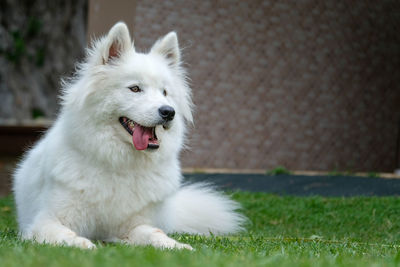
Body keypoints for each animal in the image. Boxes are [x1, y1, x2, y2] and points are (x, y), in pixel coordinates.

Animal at [13, 22, 244, 250]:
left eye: (164, 92)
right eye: (135, 88)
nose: (168, 112)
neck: (120, 164)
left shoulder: (132, 227)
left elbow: (154, 233)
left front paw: (176, 246)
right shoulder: (46, 220)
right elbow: (65, 235)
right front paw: (83, 244)